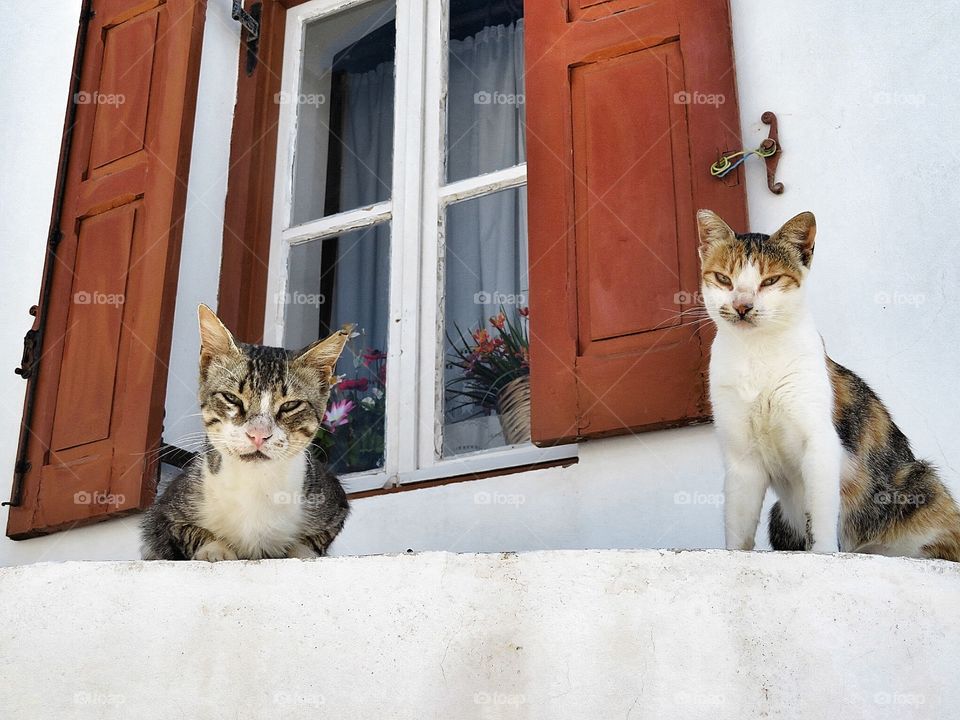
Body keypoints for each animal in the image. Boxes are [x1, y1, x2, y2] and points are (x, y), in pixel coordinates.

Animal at [141, 304, 350, 564]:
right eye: (232, 398)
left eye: (291, 405)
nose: (258, 434)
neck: (256, 485)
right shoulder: (164, 514)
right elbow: (188, 531)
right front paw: (215, 549)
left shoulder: (334, 502)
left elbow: (315, 538)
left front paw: (302, 553)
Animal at [696, 208, 960, 556]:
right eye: (724, 279)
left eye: (770, 280)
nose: (742, 306)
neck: (757, 353)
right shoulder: (741, 456)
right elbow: (738, 527)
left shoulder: (819, 441)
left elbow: (819, 515)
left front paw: (821, 552)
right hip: (779, 516)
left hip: (918, 481)